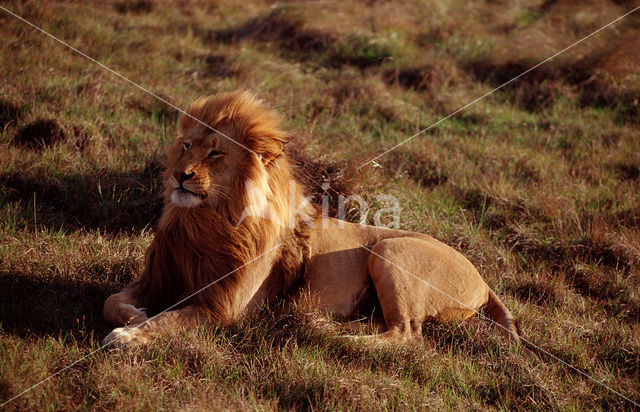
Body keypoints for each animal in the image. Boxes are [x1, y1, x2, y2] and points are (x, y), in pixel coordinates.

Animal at [102, 91, 516, 346]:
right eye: (186, 146)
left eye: (216, 153)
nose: (178, 174)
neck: (206, 223)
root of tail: (483, 280)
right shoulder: (159, 277)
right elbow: (112, 300)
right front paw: (134, 316)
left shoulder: (225, 309)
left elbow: (169, 321)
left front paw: (127, 336)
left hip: (389, 251)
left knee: (407, 336)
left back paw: (335, 337)